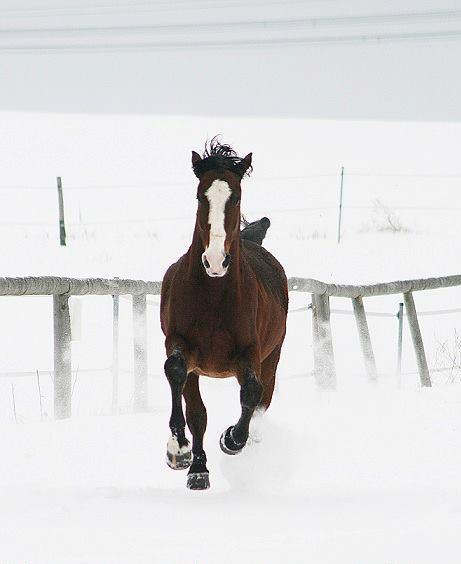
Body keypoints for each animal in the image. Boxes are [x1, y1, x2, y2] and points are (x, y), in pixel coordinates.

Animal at [160, 139, 286, 492]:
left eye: (237, 196)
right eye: (200, 196)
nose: (215, 261)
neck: (215, 296)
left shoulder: (251, 353)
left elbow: (252, 392)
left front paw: (231, 440)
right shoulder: (180, 344)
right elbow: (177, 376)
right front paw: (179, 453)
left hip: (273, 357)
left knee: (260, 401)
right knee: (197, 412)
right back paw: (198, 470)